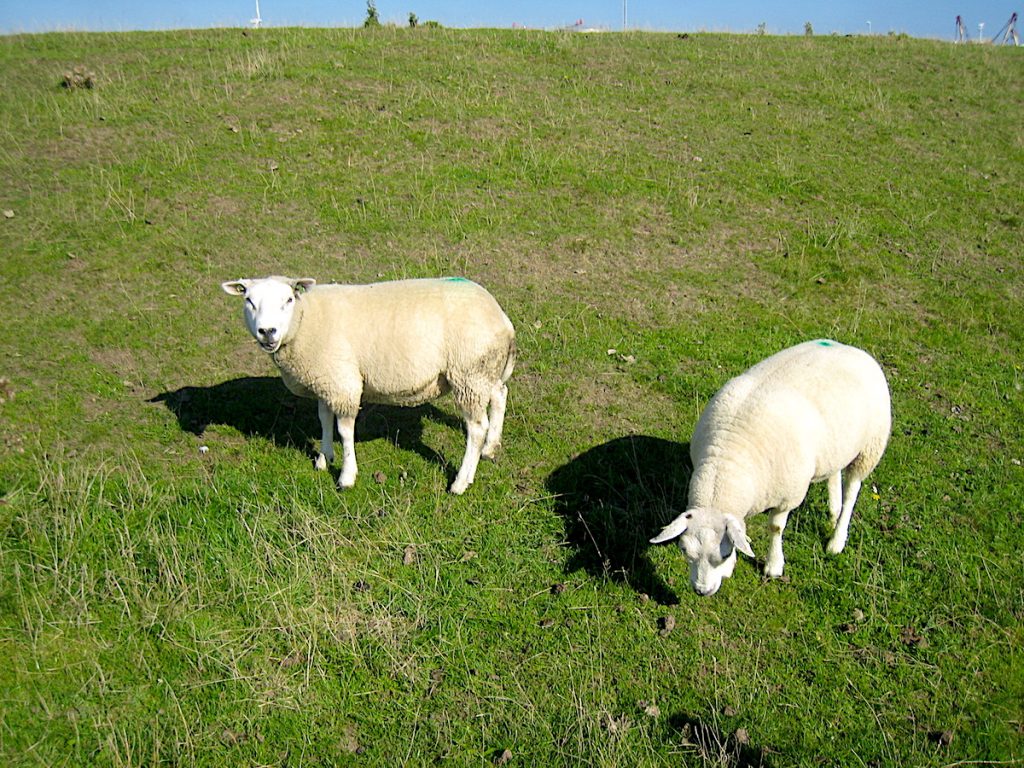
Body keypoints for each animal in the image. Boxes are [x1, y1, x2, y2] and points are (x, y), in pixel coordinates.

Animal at [221, 274, 516, 493]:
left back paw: (461, 481)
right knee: (500, 394)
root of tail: (500, 316)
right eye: (249, 301)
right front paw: (324, 459)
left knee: (476, 428)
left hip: (469, 373)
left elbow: (344, 431)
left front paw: (346, 476)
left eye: (288, 299)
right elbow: (324, 419)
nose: (267, 331)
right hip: (484, 372)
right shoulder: (326, 381)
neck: (306, 320)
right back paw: (491, 448)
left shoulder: (342, 382)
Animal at [651, 339, 892, 598]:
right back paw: (833, 511)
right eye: (684, 550)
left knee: (852, 492)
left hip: (869, 449)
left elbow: (776, 528)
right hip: (837, 444)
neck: (727, 461)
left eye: (724, 554)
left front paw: (774, 566)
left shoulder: (789, 495)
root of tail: (851, 348)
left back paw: (836, 539)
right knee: (834, 472)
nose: (701, 591)